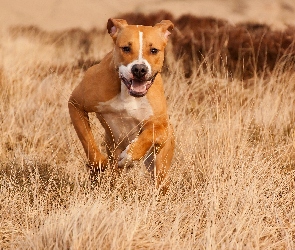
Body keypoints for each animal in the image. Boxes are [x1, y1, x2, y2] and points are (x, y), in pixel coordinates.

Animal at [69, 18, 176, 193]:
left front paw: (129, 156)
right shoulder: (75, 103)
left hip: (160, 166)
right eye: (126, 48)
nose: (139, 69)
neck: (127, 93)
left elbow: (151, 133)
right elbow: (87, 139)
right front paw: (98, 162)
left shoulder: (162, 125)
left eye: (154, 50)